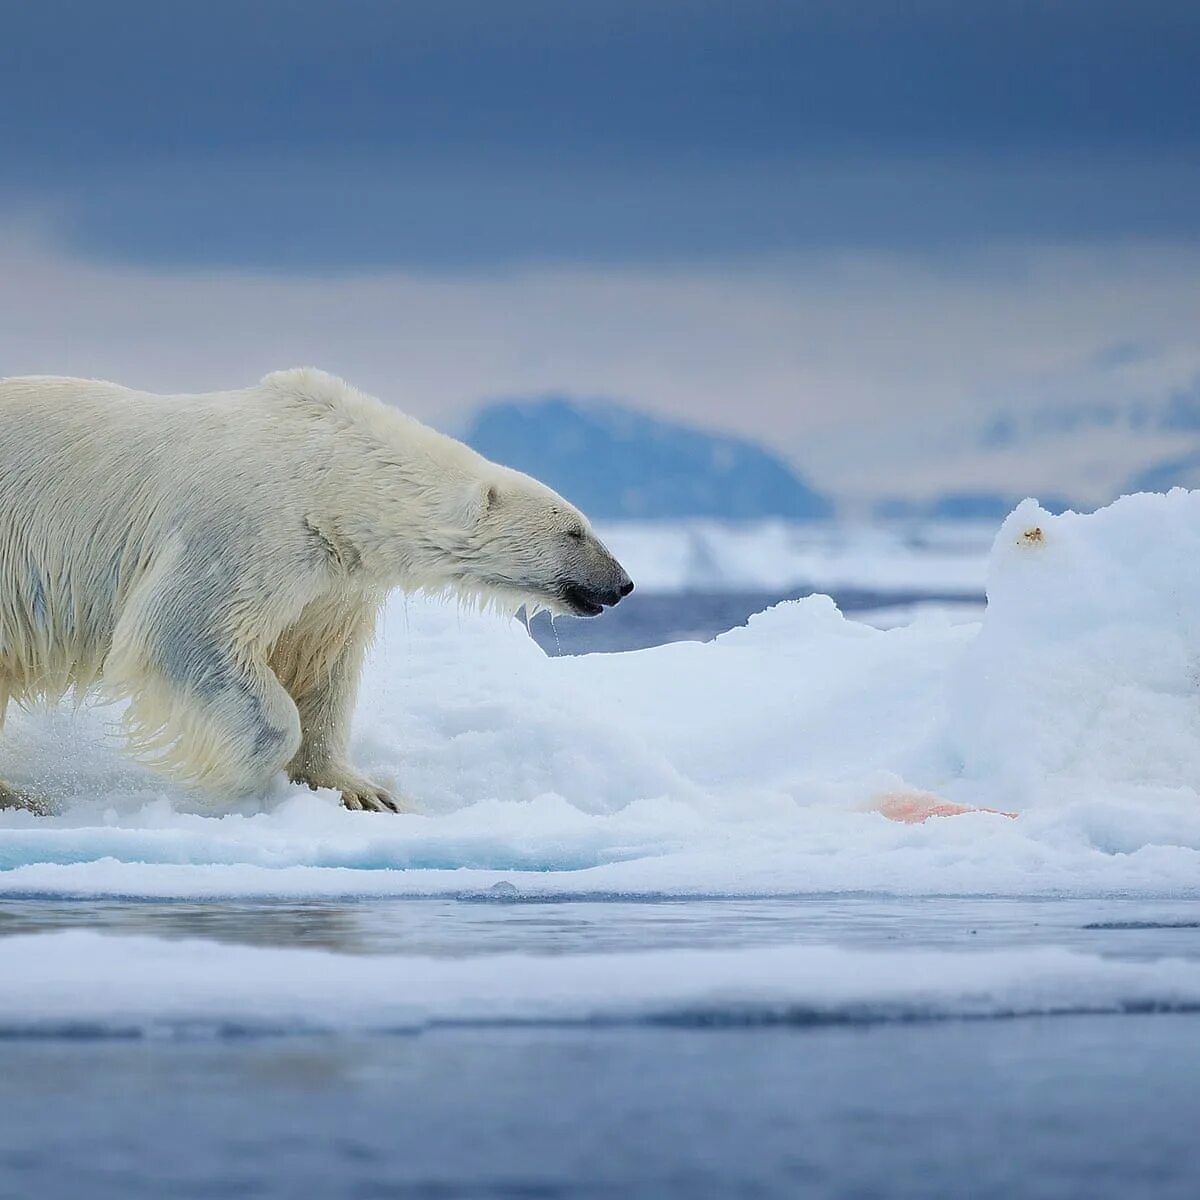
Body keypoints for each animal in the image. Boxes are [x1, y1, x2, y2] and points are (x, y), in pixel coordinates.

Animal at [0, 367, 633, 816]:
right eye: (575, 531)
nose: (623, 583)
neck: (331, 477)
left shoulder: (333, 579)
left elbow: (322, 667)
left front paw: (363, 790)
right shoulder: (248, 527)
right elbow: (185, 633)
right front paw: (239, 782)